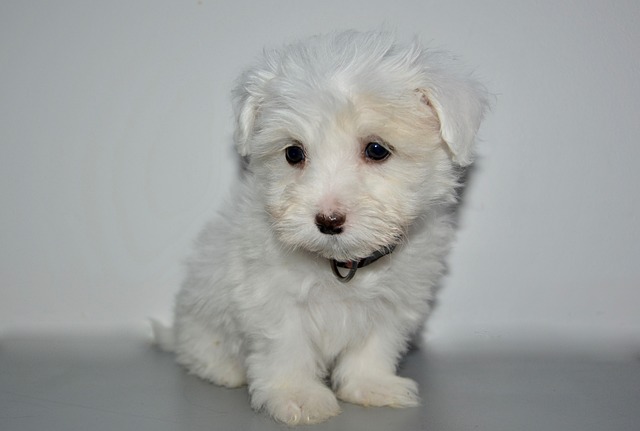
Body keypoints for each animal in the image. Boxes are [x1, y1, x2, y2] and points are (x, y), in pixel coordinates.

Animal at [152, 29, 488, 426]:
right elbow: (287, 350)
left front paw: (371, 386)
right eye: (293, 153)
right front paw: (297, 396)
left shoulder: (394, 302)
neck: (341, 266)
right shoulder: (273, 301)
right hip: (201, 321)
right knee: (199, 351)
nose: (328, 221)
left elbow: (373, 347)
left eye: (377, 149)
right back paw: (222, 369)